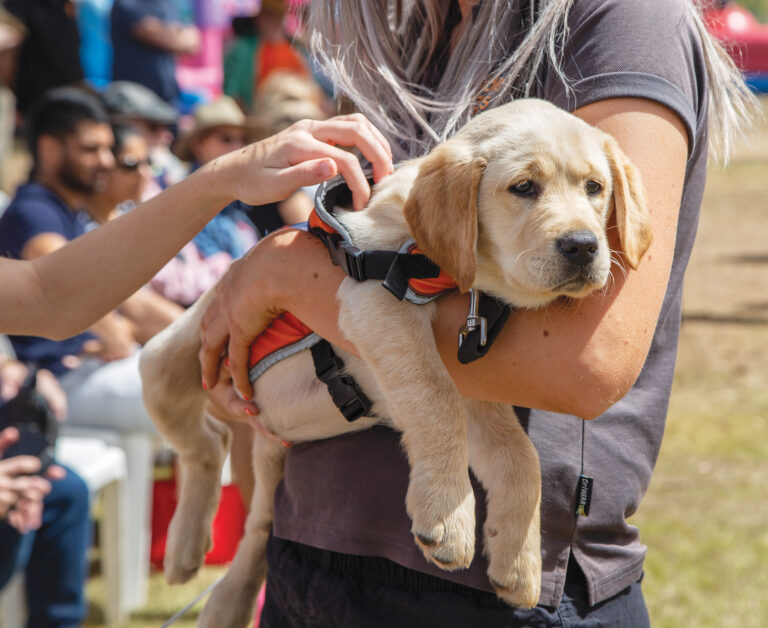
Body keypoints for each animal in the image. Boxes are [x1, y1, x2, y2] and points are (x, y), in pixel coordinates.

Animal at [138, 99, 648, 628]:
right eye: (524, 187)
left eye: (595, 188)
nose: (583, 246)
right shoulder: (378, 302)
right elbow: (435, 399)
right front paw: (447, 517)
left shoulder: (473, 385)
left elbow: (518, 455)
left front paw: (517, 560)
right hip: (165, 360)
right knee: (206, 444)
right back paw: (184, 550)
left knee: (255, 521)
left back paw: (224, 600)